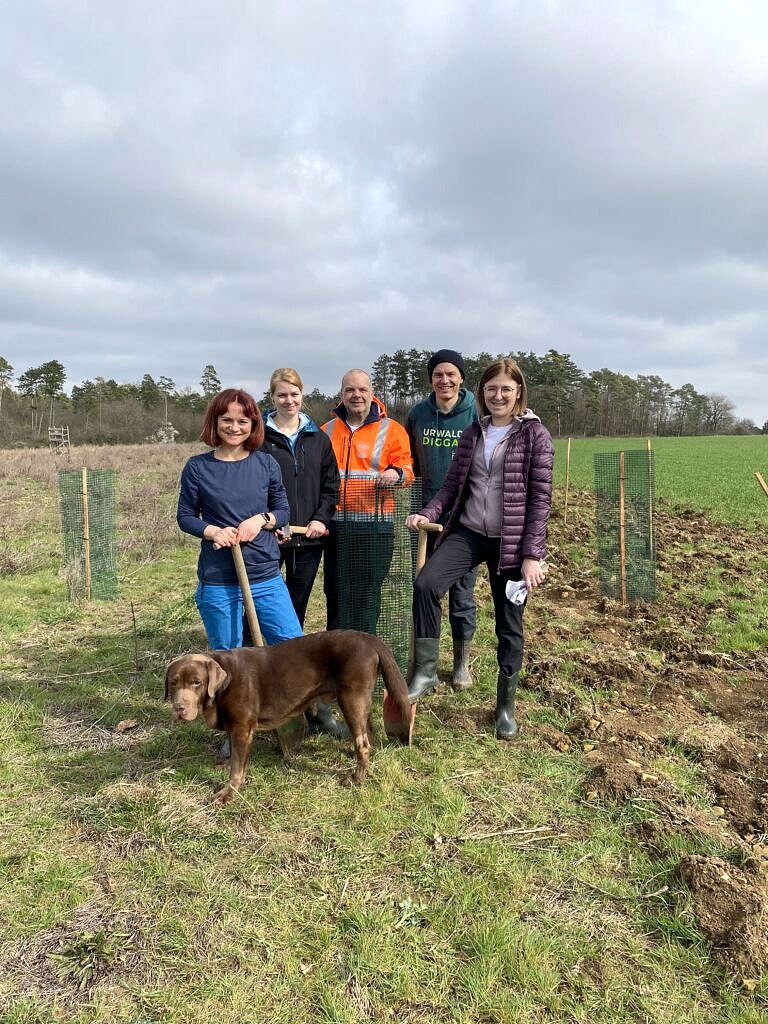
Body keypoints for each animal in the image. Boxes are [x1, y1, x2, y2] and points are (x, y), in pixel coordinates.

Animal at [163, 626, 415, 802]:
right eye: (174, 683)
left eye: (196, 682)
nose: (179, 708)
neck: (223, 686)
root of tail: (367, 637)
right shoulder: (234, 727)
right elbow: (234, 755)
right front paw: (226, 767)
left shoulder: (242, 728)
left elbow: (237, 767)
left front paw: (228, 793)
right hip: (360, 700)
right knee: (368, 732)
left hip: (351, 697)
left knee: (363, 742)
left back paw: (356, 779)